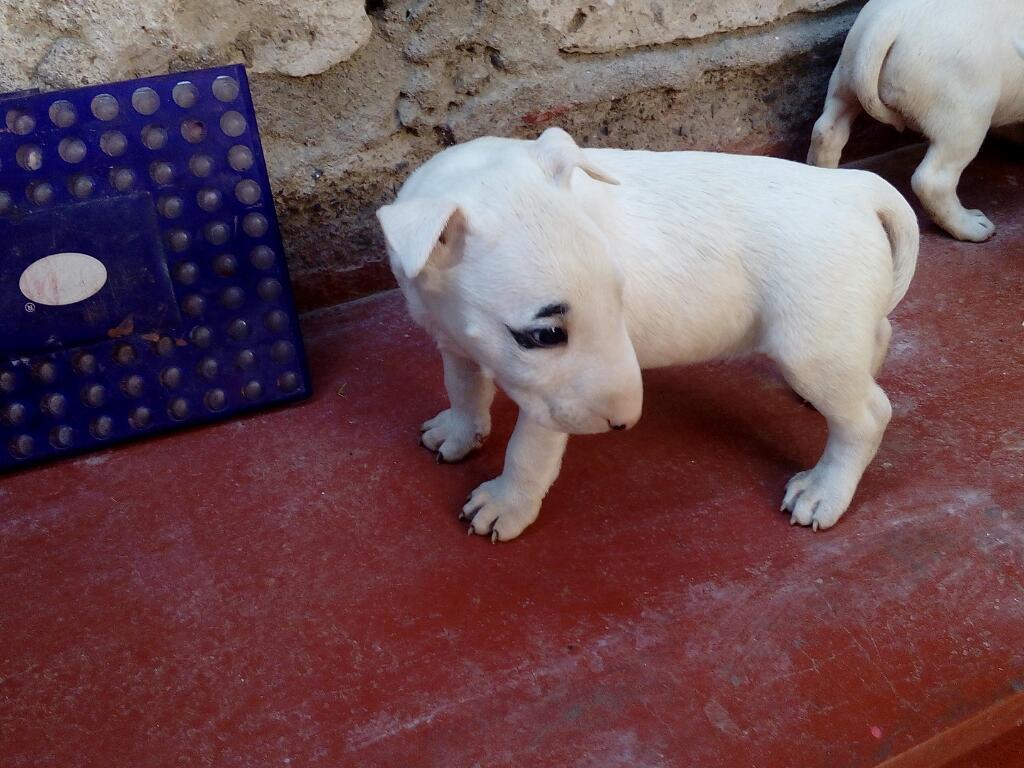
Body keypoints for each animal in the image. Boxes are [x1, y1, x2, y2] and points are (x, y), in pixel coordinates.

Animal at [376, 128, 921, 540]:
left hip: (811, 344)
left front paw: (506, 506)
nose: (625, 422)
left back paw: (824, 490)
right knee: (877, 337)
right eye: (545, 333)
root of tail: (857, 189)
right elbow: (464, 388)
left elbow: (528, 451)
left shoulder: (550, 400)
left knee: (868, 416)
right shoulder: (453, 342)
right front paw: (458, 432)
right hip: (837, 327)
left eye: (619, 296)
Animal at [811, 0, 1019, 241]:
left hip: (848, 73)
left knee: (828, 130)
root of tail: (889, 21)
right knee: (934, 179)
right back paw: (971, 226)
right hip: (964, 107)